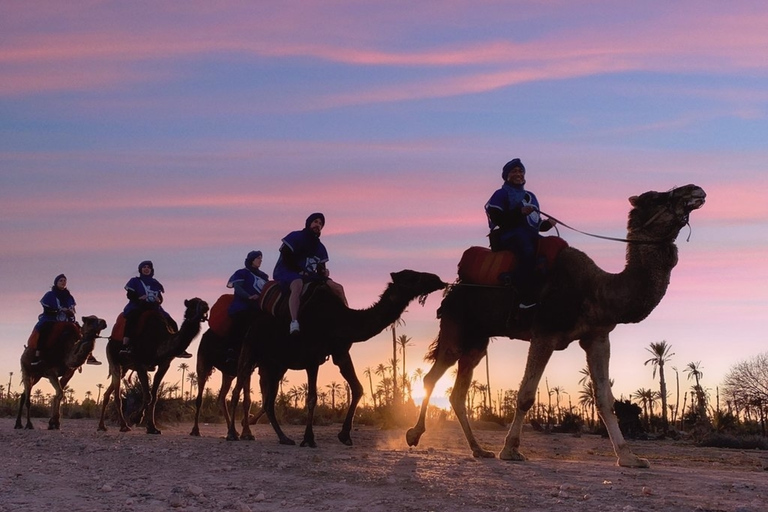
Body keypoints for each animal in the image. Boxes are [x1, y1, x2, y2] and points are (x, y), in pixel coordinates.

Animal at [97, 298, 208, 434]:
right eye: (192, 304)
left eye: (204, 302)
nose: (206, 307)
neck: (159, 339)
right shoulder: (140, 363)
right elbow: (148, 395)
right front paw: (136, 418)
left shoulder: (164, 364)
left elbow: (154, 397)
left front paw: (152, 427)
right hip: (112, 357)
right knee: (117, 394)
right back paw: (124, 426)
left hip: (125, 367)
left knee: (108, 393)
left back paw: (102, 426)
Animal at [225, 270, 448, 446]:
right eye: (412, 276)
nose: (437, 279)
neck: (339, 320)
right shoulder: (312, 357)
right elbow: (312, 397)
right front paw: (309, 439)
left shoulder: (340, 352)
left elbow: (357, 388)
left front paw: (345, 435)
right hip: (251, 351)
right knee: (238, 390)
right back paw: (233, 434)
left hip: (276, 364)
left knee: (268, 401)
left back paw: (283, 438)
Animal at [408, 185, 708, 468]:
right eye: (658, 197)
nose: (695, 190)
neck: (596, 290)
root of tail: (453, 287)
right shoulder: (544, 333)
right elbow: (526, 395)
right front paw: (511, 450)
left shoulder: (597, 337)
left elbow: (604, 399)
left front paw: (629, 457)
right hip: (456, 324)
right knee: (432, 376)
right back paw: (414, 434)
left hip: (478, 339)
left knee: (458, 392)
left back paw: (479, 450)